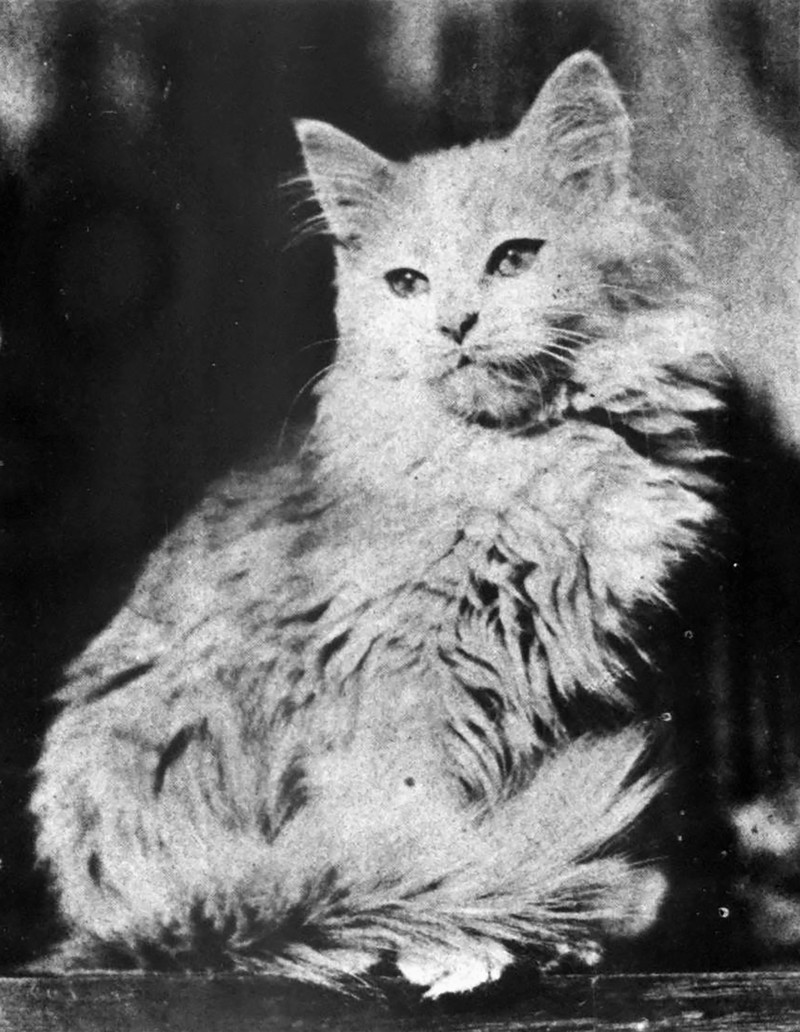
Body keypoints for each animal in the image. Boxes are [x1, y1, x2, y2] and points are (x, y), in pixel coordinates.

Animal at [31, 51, 726, 996]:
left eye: (514, 259)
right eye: (406, 283)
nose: (453, 324)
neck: (527, 460)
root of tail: (110, 915)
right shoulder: (400, 680)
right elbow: (426, 840)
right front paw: (458, 937)